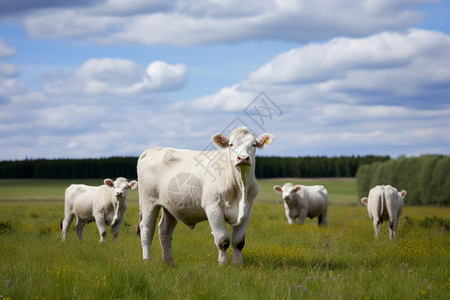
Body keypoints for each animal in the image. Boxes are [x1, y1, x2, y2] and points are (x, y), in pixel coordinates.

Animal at [137, 126, 272, 264]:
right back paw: (147, 260)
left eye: (253, 144)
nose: (243, 158)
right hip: (148, 202)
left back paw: (169, 262)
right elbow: (223, 240)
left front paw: (238, 264)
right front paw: (223, 263)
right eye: (231, 144)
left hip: (171, 207)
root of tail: (154, 149)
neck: (240, 188)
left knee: (165, 231)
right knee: (147, 229)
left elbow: (238, 242)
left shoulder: (247, 210)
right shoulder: (213, 207)